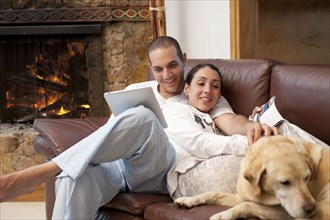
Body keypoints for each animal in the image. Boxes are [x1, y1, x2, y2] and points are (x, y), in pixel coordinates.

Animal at [174, 135, 328, 219]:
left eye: (307, 178)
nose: (311, 209)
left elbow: (247, 205)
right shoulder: (241, 196)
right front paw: (188, 200)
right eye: (285, 182)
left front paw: (223, 215)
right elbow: (214, 193)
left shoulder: (286, 214)